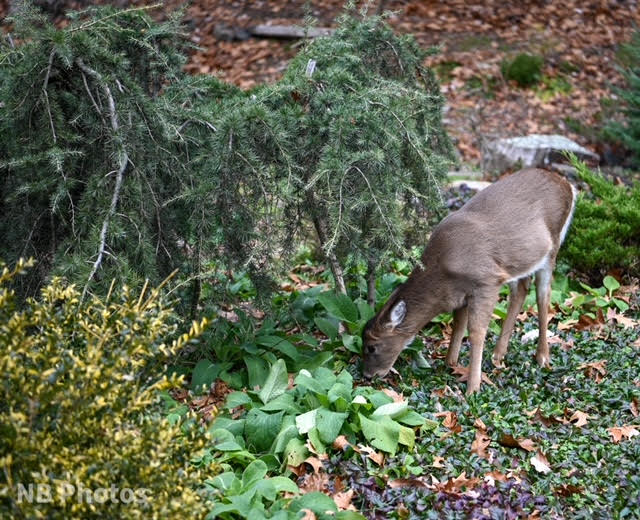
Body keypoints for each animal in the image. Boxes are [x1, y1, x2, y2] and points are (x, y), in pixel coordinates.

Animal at [362, 168, 576, 394]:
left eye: (371, 347)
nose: (368, 375)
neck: (442, 269)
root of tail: (567, 185)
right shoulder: (461, 294)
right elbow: (458, 325)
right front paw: (450, 363)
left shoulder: (486, 281)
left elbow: (476, 333)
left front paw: (473, 387)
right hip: (518, 261)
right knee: (521, 290)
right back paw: (498, 354)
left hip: (552, 248)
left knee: (544, 296)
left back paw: (542, 357)